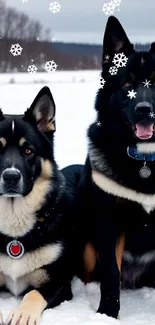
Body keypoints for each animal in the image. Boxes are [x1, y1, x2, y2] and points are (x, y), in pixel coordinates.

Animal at [63, 15, 155, 318]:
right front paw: (107, 313)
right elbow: (111, 274)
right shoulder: (108, 222)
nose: (144, 110)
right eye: (126, 84)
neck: (145, 159)